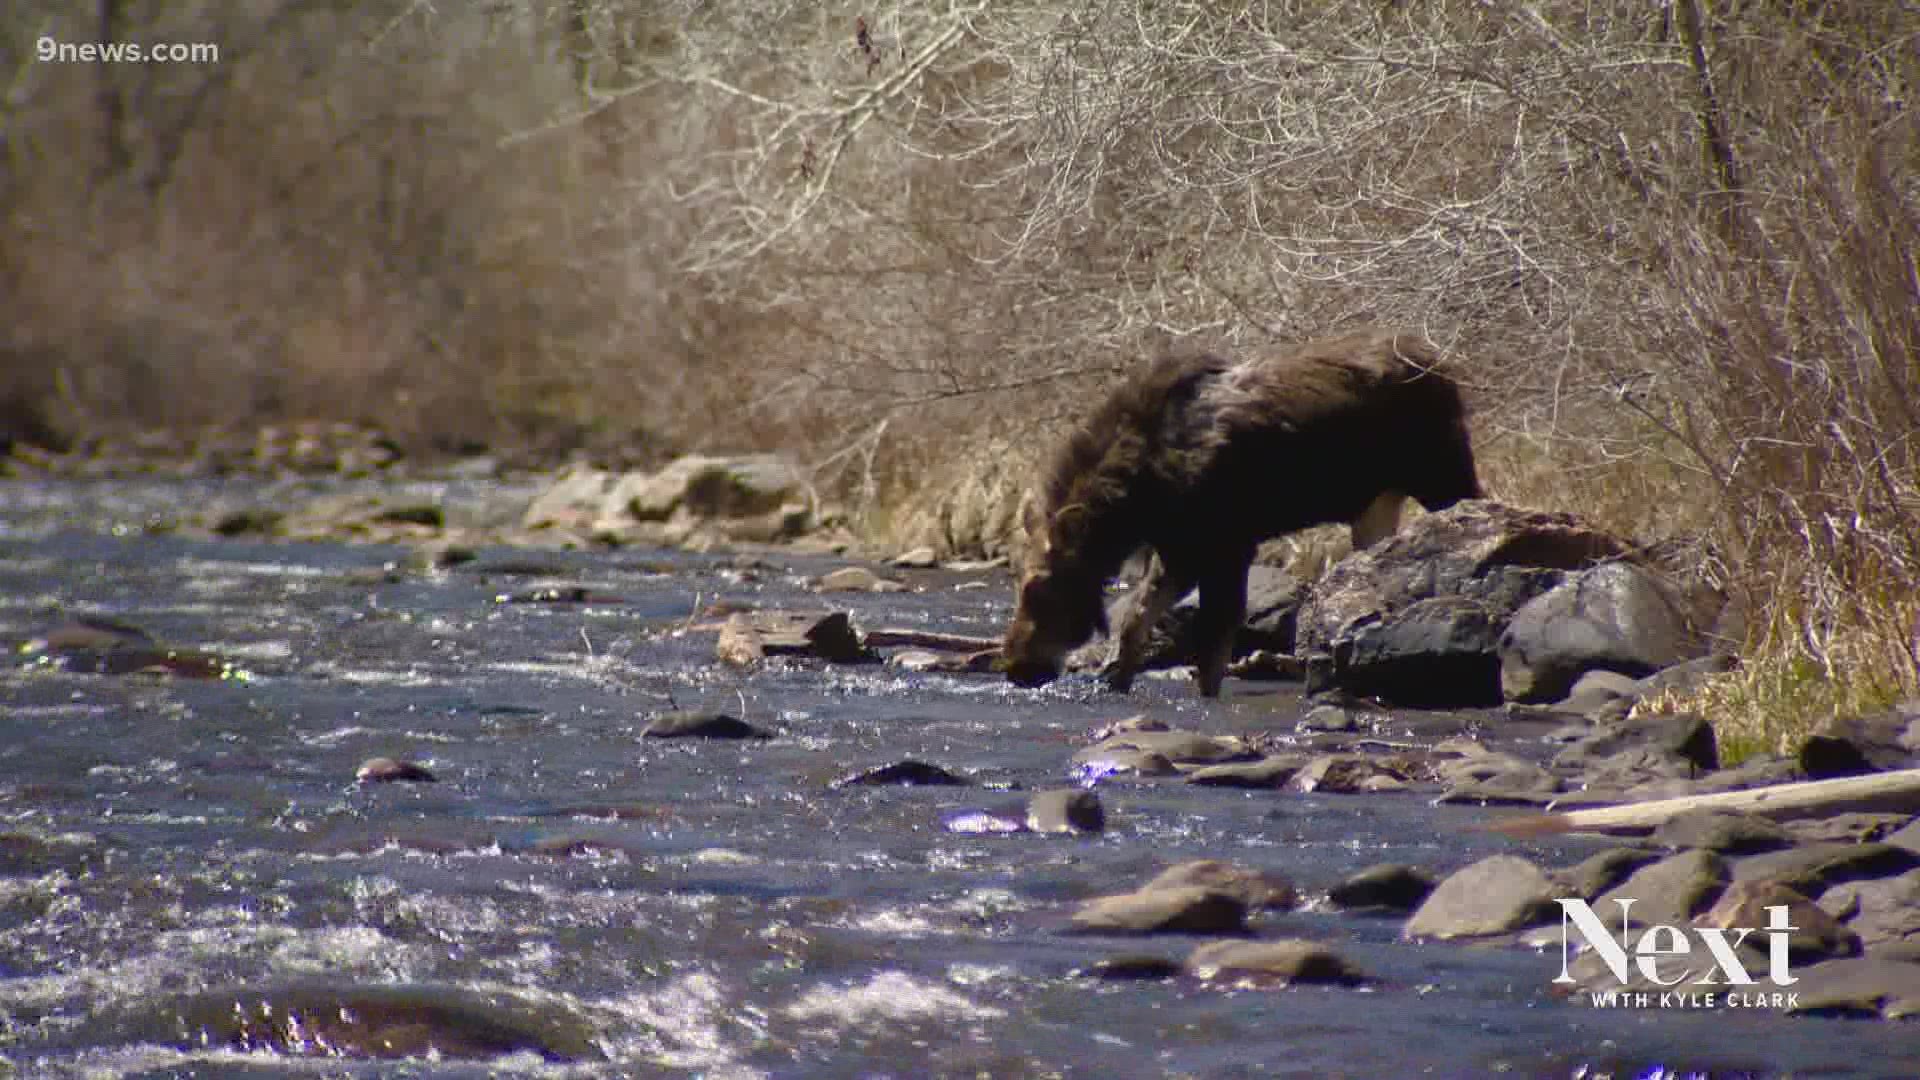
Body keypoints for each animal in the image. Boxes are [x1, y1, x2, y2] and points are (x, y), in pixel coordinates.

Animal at [1006, 328, 1482, 691]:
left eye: (1039, 588)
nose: (1014, 666)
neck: (1136, 500)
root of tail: (1445, 368)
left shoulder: (1224, 547)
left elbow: (1211, 652)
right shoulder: (1181, 551)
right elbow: (1135, 624)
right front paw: (1118, 681)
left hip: (1444, 475)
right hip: (1377, 506)